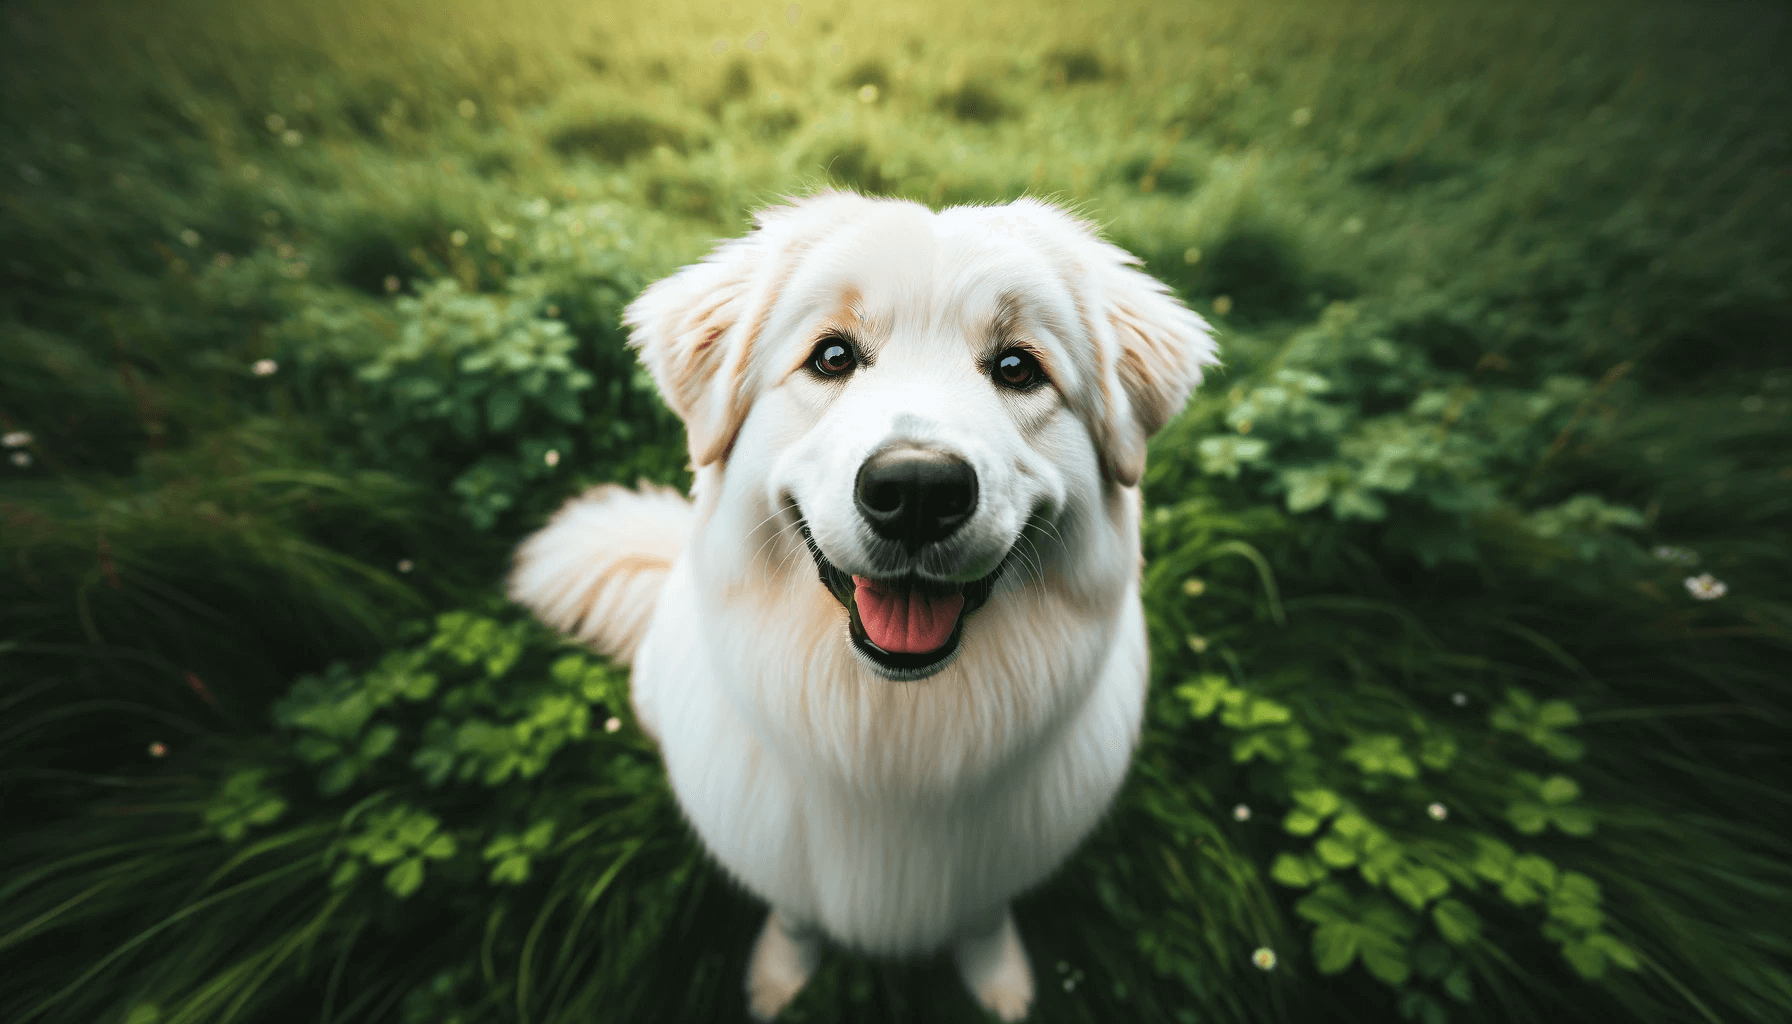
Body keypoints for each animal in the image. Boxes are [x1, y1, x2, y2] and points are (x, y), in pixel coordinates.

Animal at [508, 190, 1218, 1018]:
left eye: (1017, 368)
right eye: (833, 357)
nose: (917, 491)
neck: (893, 736)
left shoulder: (995, 866)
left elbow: (981, 919)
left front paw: (999, 983)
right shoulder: (782, 861)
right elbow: (796, 917)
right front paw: (778, 981)